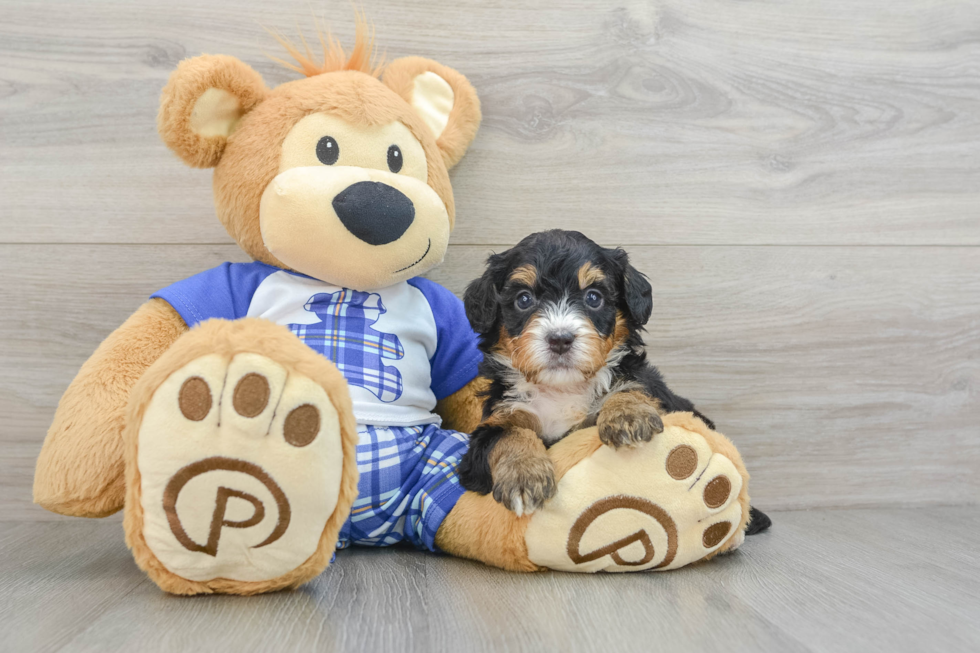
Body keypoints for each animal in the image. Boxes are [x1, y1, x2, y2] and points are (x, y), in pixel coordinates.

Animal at [460, 229, 712, 516]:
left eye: (593, 297)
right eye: (523, 299)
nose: (560, 339)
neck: (562, 389)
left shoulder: (659, 395)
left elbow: (631, 386)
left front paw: (628, 414)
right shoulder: (487, 431)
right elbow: (508, 434)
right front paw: (524, 475)